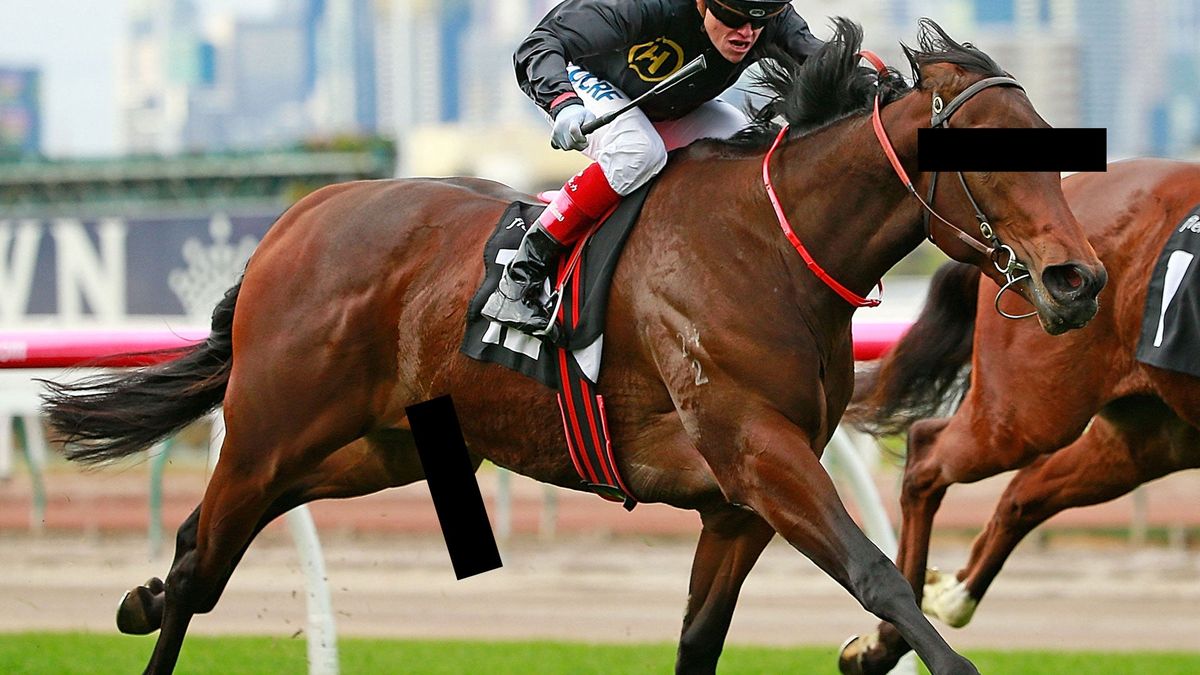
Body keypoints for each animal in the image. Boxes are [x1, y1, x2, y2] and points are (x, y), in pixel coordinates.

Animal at [41, 19, 1104, 675]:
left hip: (376, 446)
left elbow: (700, 639)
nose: (1078, 280)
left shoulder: (738, 503)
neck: (770, 246)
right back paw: (156, 602)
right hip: (273, 425)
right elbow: (879, 573)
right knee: (203, 555)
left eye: (1052, 140)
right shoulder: (761, 457)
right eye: (990, 154)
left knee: (204, 547)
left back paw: (139, 596)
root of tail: (298, 218)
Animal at [838, 157, 1200, 675]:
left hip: (1152, 436)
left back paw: (942, 601)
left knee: (1024, 494)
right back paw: (885, 641)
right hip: (1029, 413)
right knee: (929, 454)